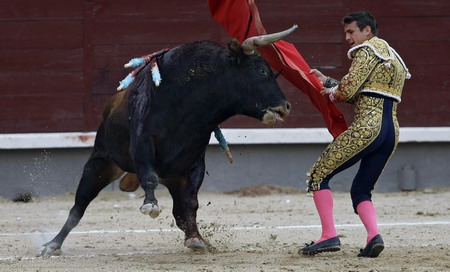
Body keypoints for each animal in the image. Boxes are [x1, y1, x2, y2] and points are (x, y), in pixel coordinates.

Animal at [41, 26, 296, 256]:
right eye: (261, 70)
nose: (286, 106)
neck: (188, 101)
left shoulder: (193, 164)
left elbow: (190, 204)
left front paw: (196, 240)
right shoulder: (142, 146)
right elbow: (149, 177)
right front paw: (150, 205)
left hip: (172, 179)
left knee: (179, 211)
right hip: (100, 162)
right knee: (79, 206)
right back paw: (52, 245)